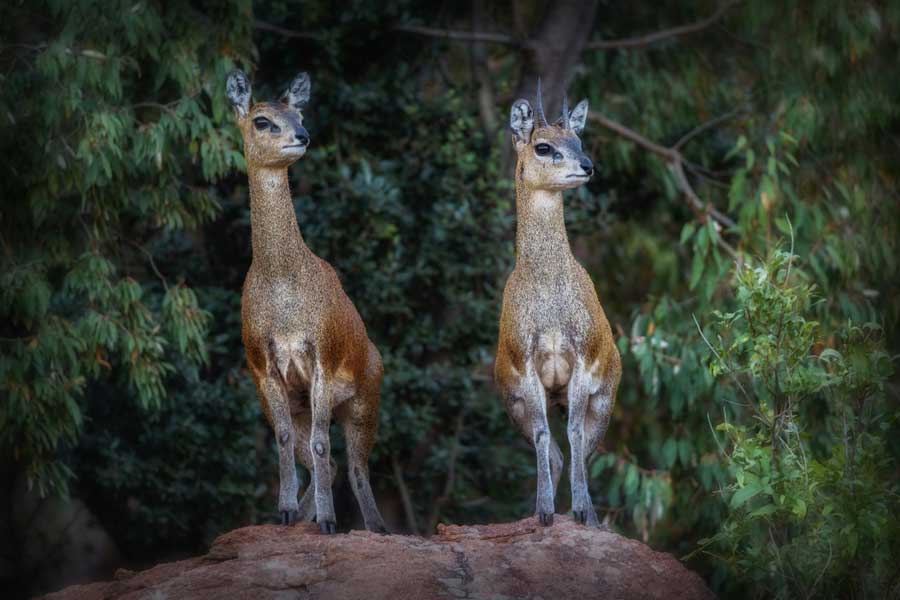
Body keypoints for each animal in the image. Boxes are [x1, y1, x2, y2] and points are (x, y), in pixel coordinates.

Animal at [226, 70, 387, 534]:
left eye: (298, 114)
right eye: (262, 120)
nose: (302, 135)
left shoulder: (323, 358)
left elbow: (320, 445)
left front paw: (329, 520)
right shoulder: (262, 366)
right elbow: (283, 441)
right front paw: (285, 511)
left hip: (364, 400)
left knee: (355, 466)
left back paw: (373, 527)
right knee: (328, 462)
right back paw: (302, 516)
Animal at [494, 81, 621, 527]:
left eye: (579, 139)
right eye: (544, 146)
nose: (588, 166)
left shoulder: (583, 360)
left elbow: (574, 435)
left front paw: (582, 510)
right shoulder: (526, 367)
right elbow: (544, 436)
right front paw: (545, 511)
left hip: (603, 399)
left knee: (582, 449)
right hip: (517, 403)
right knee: (552, 452)